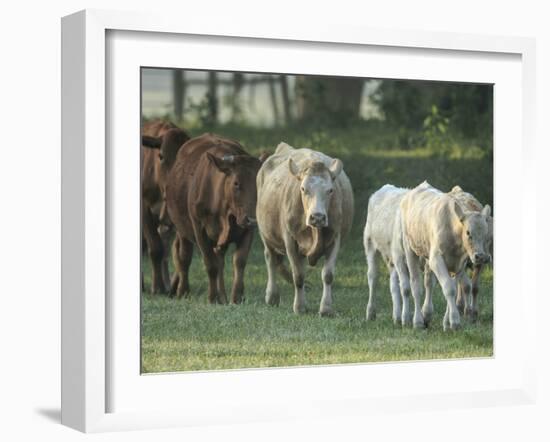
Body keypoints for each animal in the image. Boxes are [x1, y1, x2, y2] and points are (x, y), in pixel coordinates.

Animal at [164, 131, 264, 304]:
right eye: (236, 183)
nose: (252, 219)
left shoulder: (247, 230)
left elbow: (239, 261)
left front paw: (236, 298)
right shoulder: (199, 229)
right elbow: (210, 264)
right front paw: (212, 298)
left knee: (220, 260)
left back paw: (223, 296)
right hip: (182, 230)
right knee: (185, 257)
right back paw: (183, 291)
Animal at [398, 181, 494, 330]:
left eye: (486, 233)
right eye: (468, 232)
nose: (481, 257)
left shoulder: (459, 264)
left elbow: (453, 289)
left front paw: (447, 323)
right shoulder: (437, 259)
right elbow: (448, 288)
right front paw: (454, 322)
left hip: (428, 256)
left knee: (429, 283)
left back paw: (427, 314)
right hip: (410, 249)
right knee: (415, 285)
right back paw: (417, 321)